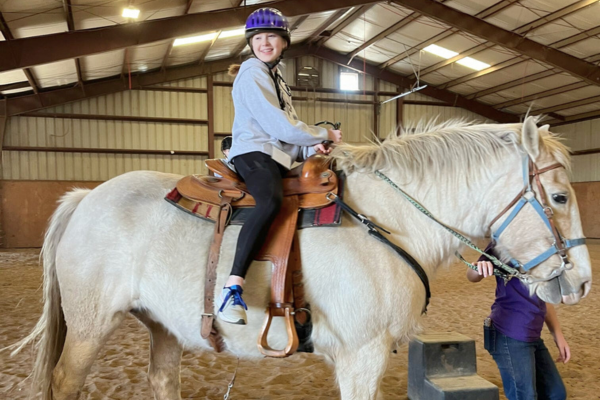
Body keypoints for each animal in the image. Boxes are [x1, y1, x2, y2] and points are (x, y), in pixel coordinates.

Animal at [9, 116, 592, 400]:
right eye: (560, 197)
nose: (583, 283)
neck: (387, 220)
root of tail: (86, 197)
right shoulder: (362, 356)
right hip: (89, 326)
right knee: (64, 384)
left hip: (163, 327)